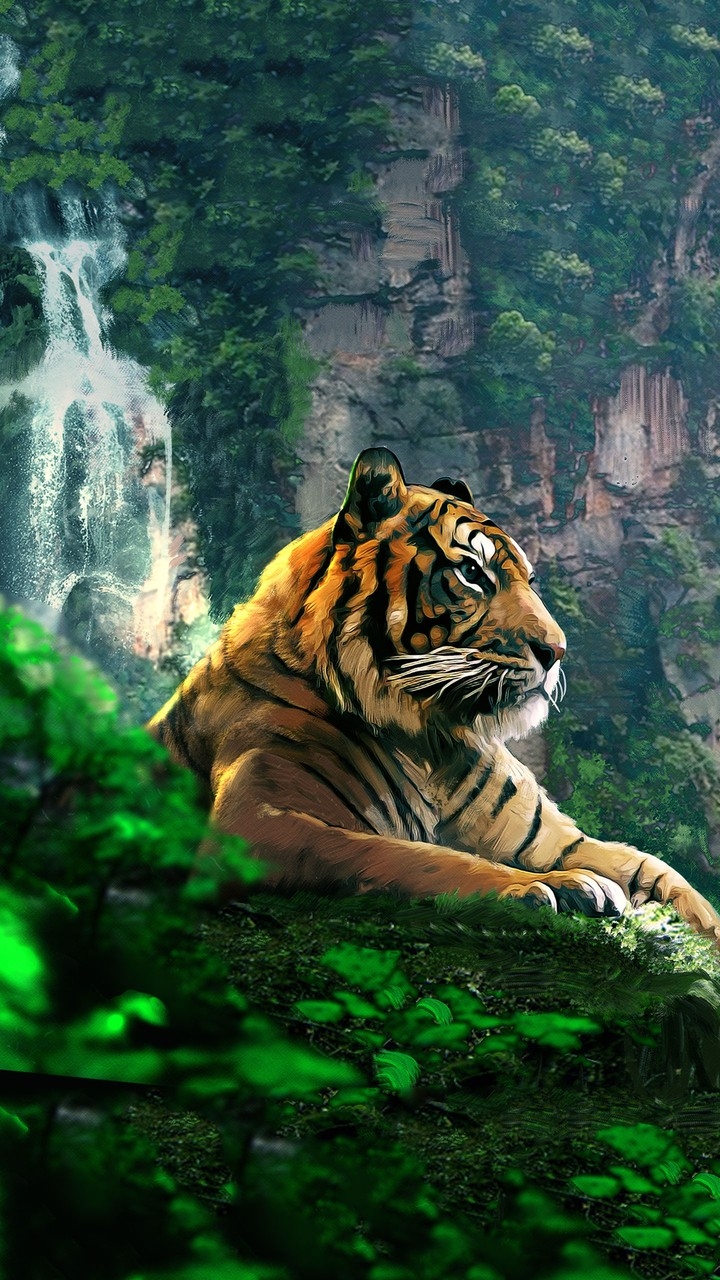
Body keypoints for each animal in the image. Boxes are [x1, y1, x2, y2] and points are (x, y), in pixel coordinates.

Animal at [147, 446, 720, 945]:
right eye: (472, 573)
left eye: (530, 579)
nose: (557, 650)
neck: (433, 738)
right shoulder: (258, 822)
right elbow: (411, 857)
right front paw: (552, 887)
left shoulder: (556, 840)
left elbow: (662, 875)